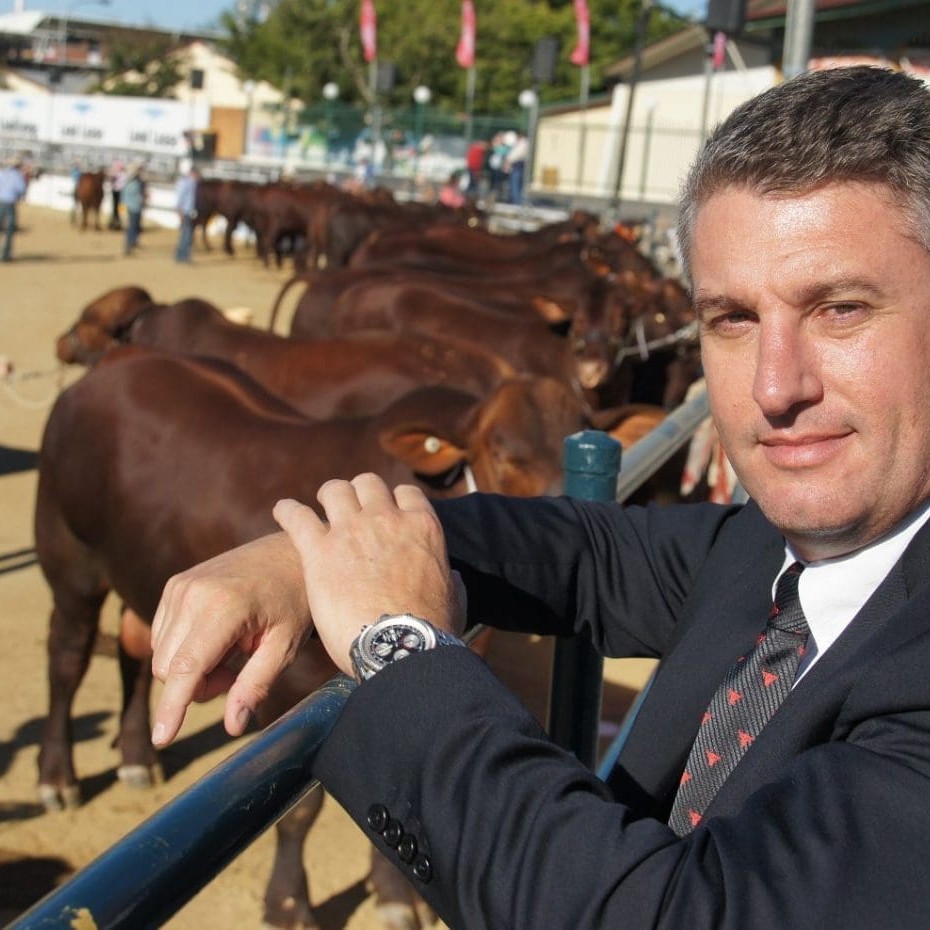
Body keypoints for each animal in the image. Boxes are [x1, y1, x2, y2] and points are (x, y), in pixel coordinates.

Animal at [38, 346, 588, 928]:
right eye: (504, 453)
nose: (562, 504)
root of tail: (117, 361)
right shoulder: (289, 694)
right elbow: (300, 813)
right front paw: (289, 903)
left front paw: (392, 894)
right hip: (70, 559)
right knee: (67, 658)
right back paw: (58, 777)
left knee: (137, 651)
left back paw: (138, 754)